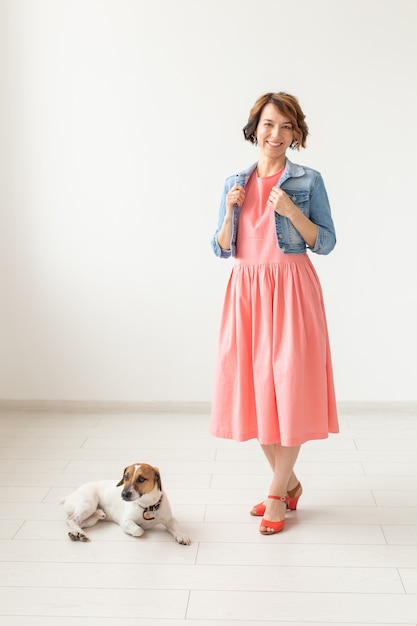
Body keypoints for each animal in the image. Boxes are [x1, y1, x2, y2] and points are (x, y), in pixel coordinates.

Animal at [59, 460, 191, 544]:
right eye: (126, 476)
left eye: (141, 479)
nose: (123, 494)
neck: (147, 505)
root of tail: (70, 495)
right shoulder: (126, 521)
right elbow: (139, 530)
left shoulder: (169, 520)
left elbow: (175, 526)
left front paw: (181, 535)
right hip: (88, 504)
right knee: (71, 519)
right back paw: (80, 533)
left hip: (91, 519)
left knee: (80, 522)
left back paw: (78, 531)